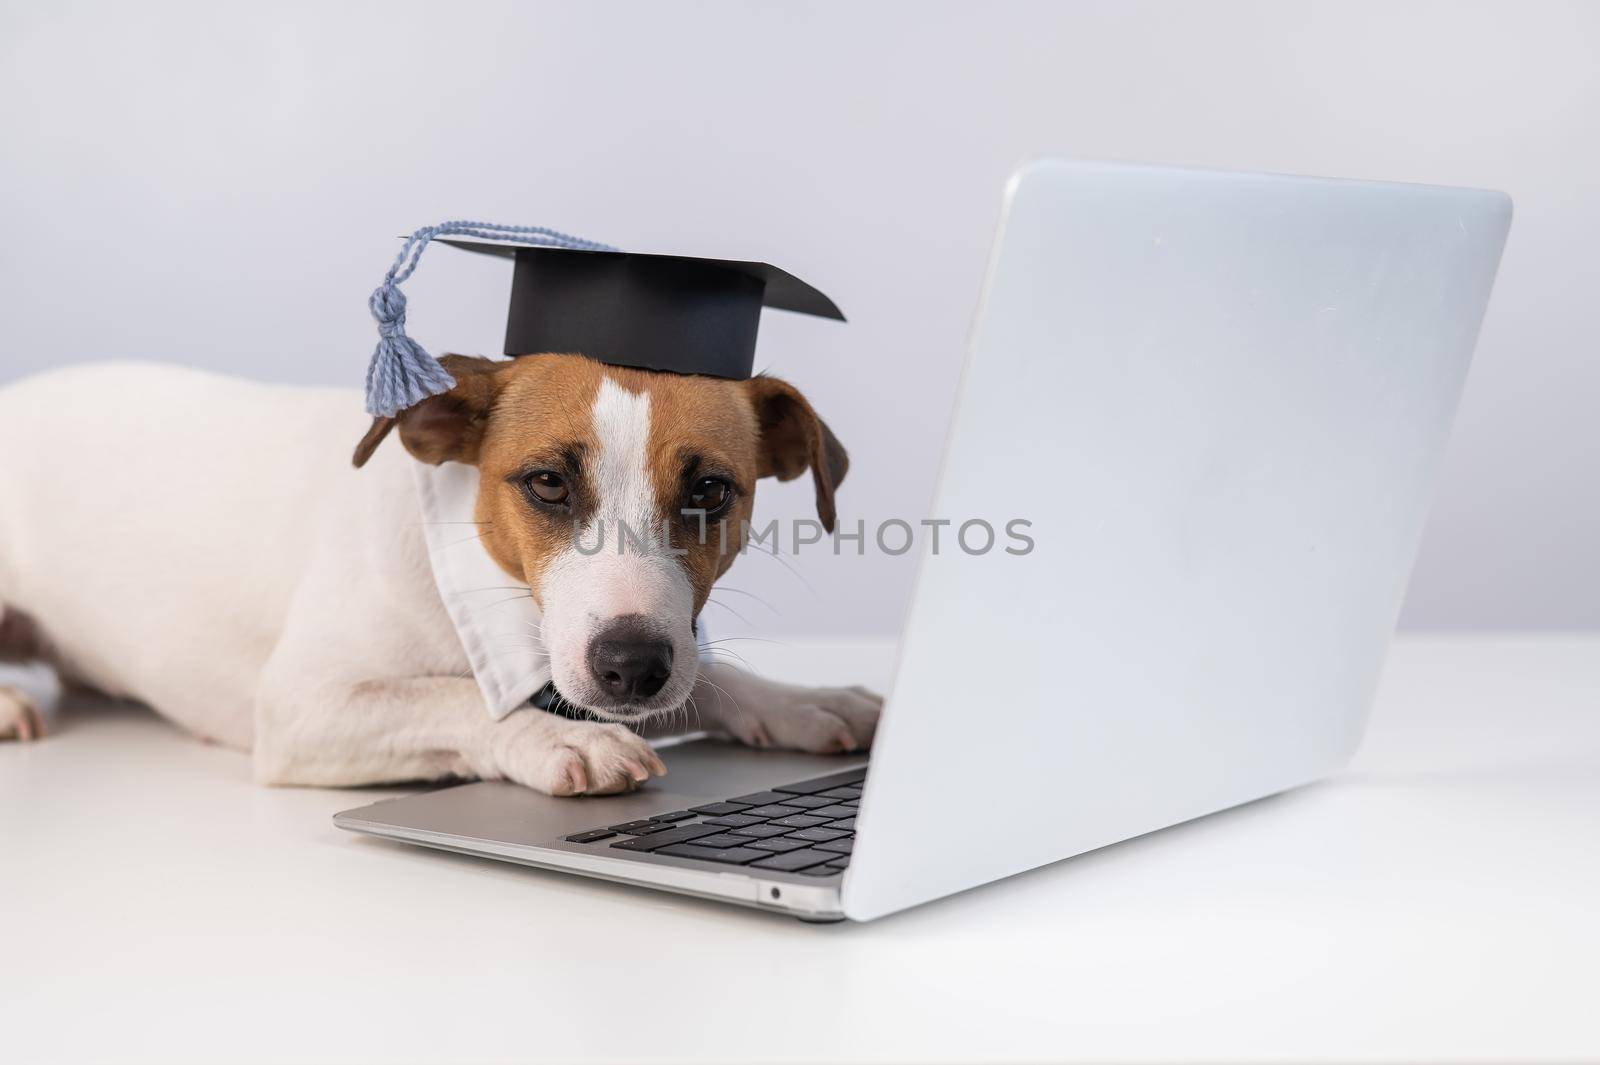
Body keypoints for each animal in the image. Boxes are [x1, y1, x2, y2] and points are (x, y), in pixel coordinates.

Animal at [0, 356, 883, 786]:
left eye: (709, 490)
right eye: (548, 482)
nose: (632, 666)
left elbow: (713, 677)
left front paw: (805, 700)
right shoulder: (302, 706)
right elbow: (456, 699)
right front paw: (560, 738)